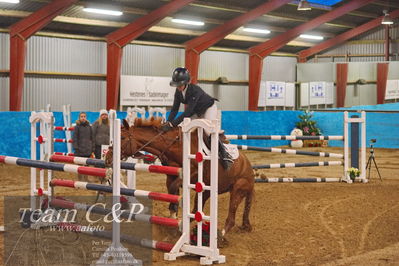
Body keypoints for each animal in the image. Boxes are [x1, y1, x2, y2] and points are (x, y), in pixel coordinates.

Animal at [105, 117, 256, 234]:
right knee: (196, 210)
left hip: (238, 188)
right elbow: (171, 190)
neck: (173, 146)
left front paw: (176, 212)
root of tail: (250, 169)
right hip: (207, 191)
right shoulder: (170, 176)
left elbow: (174, 188)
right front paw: (173, 215)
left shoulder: (192, 174)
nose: (107, 159)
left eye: (122, 137)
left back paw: (221, 236)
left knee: (231, 216)